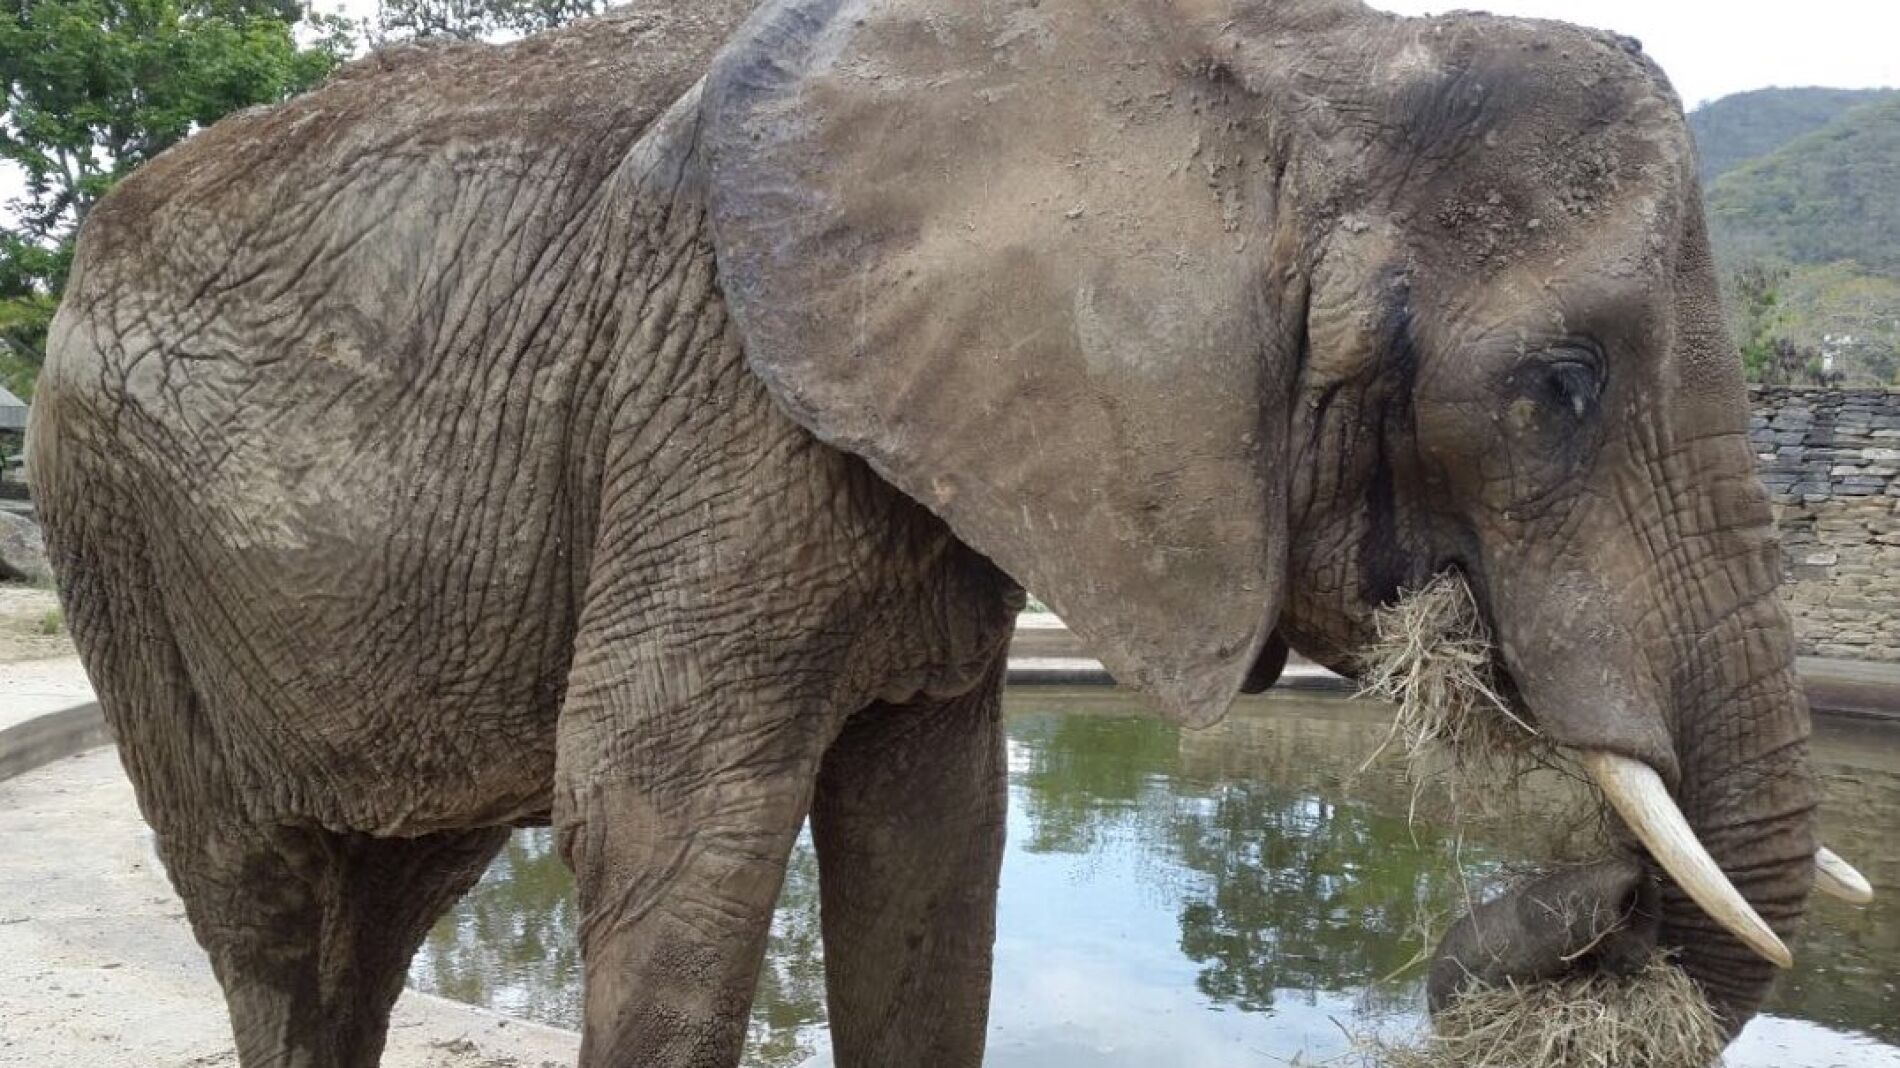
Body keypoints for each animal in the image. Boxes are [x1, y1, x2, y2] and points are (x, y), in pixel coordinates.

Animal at [27, 0, 1857, 1063]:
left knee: (386, 898)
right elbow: (667, 820)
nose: (1591, 913)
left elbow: (934, 836)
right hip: (109, 521)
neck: (1278, 62)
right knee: (271, 911)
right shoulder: (715, 396)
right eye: (1558, 386)